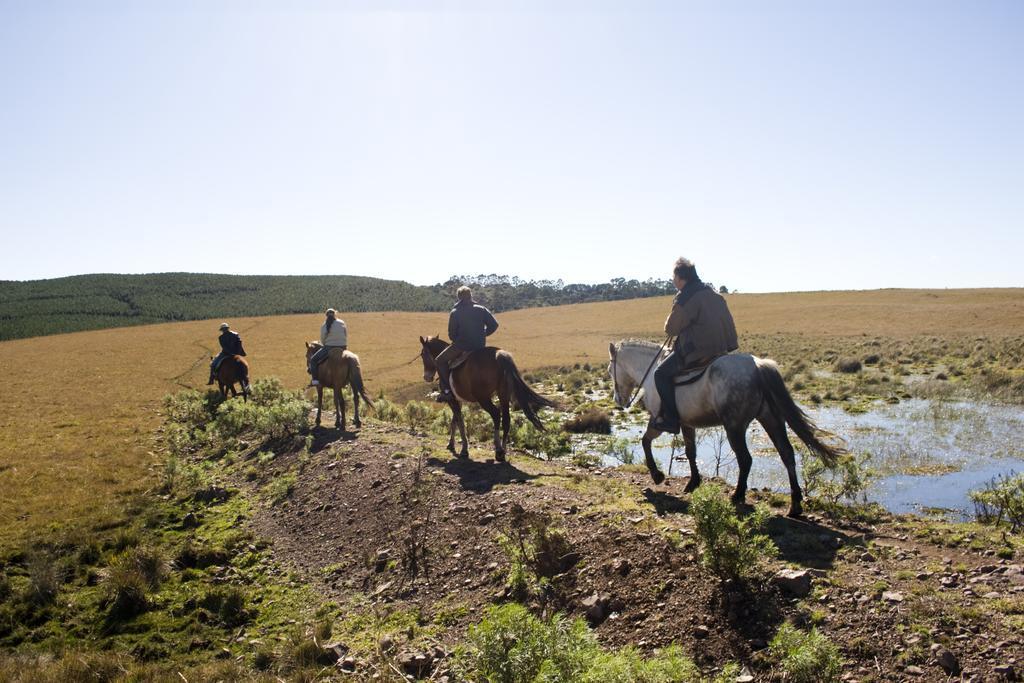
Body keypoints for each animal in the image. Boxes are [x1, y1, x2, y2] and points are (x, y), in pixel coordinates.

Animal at [417, 335, 557, 462]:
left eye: (423, 354)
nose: (426, 377)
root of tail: (499, 356)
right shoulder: (458, 400)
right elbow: (454, 421)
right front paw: (451, 444)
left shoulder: (452, 400)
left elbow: (459, 422)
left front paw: (463, 449)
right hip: (503, 394)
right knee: (506, 419)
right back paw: (503, 452)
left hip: (483, 398)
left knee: (496, 414)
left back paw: (499, 449)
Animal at [606, 342, 839, 518]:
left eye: (610, 370)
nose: (618, 401)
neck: (651, 373)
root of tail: (758, 366)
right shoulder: (687, 424)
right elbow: (691, 452)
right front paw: (693, 483)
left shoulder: (658, 422)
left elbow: (645, 441)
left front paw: (656, 475)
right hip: (771, 419)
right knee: (786, 453)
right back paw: (795, 505)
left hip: (734, 427)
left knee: (746, 459)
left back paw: (737, 495)